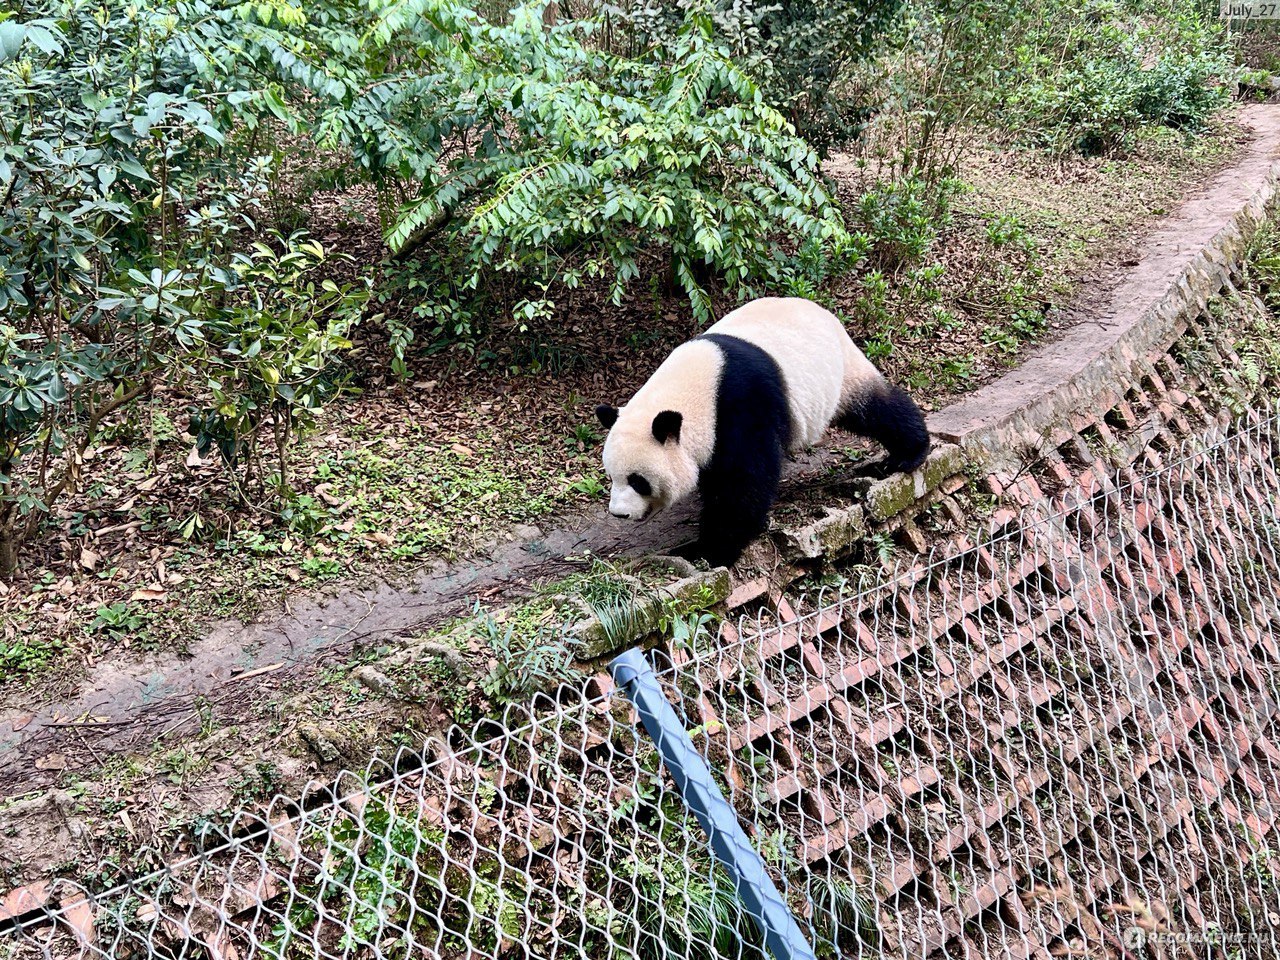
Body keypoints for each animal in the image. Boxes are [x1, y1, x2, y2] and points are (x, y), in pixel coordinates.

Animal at [588, 296, 931, 568]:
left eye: (638, 481)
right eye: (612, 476)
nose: (618, 514)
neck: (695, 392)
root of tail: (821, 309)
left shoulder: (740, 406)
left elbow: (744, 484)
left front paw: (710, 551)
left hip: (838, 370)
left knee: (875, 408)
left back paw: (907, 454)